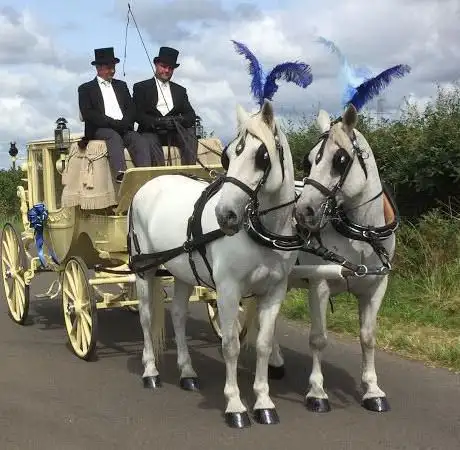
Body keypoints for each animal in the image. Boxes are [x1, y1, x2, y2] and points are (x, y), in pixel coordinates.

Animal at [129, 100, 298, 428]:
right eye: (228, 156)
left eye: (262, 156)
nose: (225, 215)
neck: (259, 230)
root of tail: (149, 182)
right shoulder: (229, 290)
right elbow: (230, 345)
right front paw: (235, 405)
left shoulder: (275, 290)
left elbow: (263, 343)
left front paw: (264, 402)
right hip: (144, 268)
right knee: (144, 317)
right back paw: (151, 371)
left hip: (182, 271)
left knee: (178, 316)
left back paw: (187, 372)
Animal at [272, 103, 398, 414]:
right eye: (309, 160)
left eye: (340, 160)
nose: (303, 211)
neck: (360, 233)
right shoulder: (319, 284)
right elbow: (318, 339)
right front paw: (317, 392)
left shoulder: (377, 286)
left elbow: (368, 337)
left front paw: (373, 390)